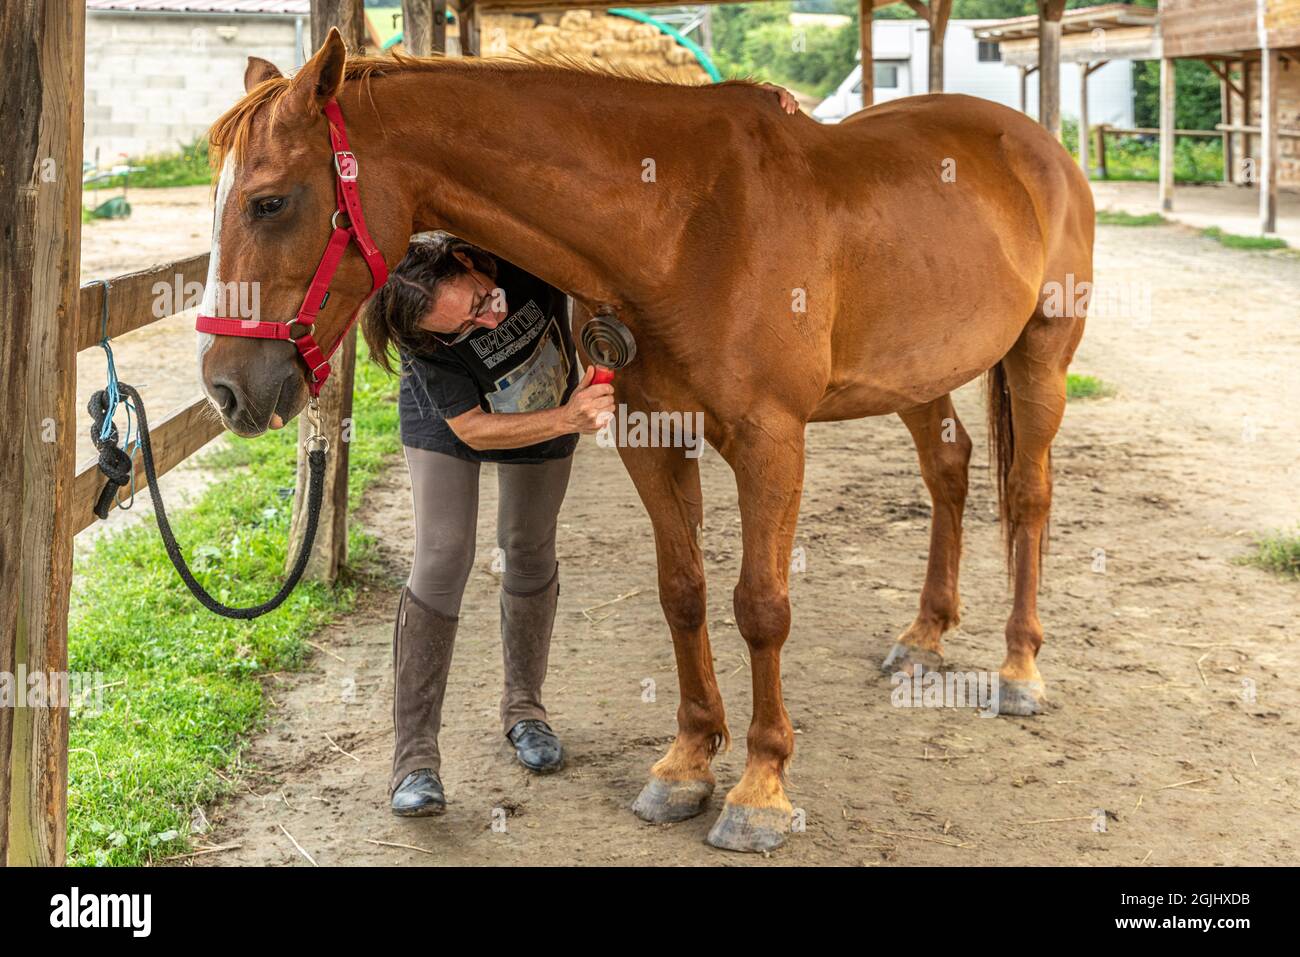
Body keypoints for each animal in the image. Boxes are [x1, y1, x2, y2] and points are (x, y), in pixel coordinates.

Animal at [197, 29, 1092, 852]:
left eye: (269, 201)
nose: (225, 387)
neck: (684, 227)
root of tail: (1040, 147)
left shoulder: (771, 444)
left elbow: (760, 606)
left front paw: (759, 789)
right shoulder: (649, 435)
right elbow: (682, 591)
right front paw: (688, 763)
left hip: (1041, 357)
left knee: (1027, 494)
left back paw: (1019, 668)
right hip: (918, 373)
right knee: (949, 469)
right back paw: (924, 636)